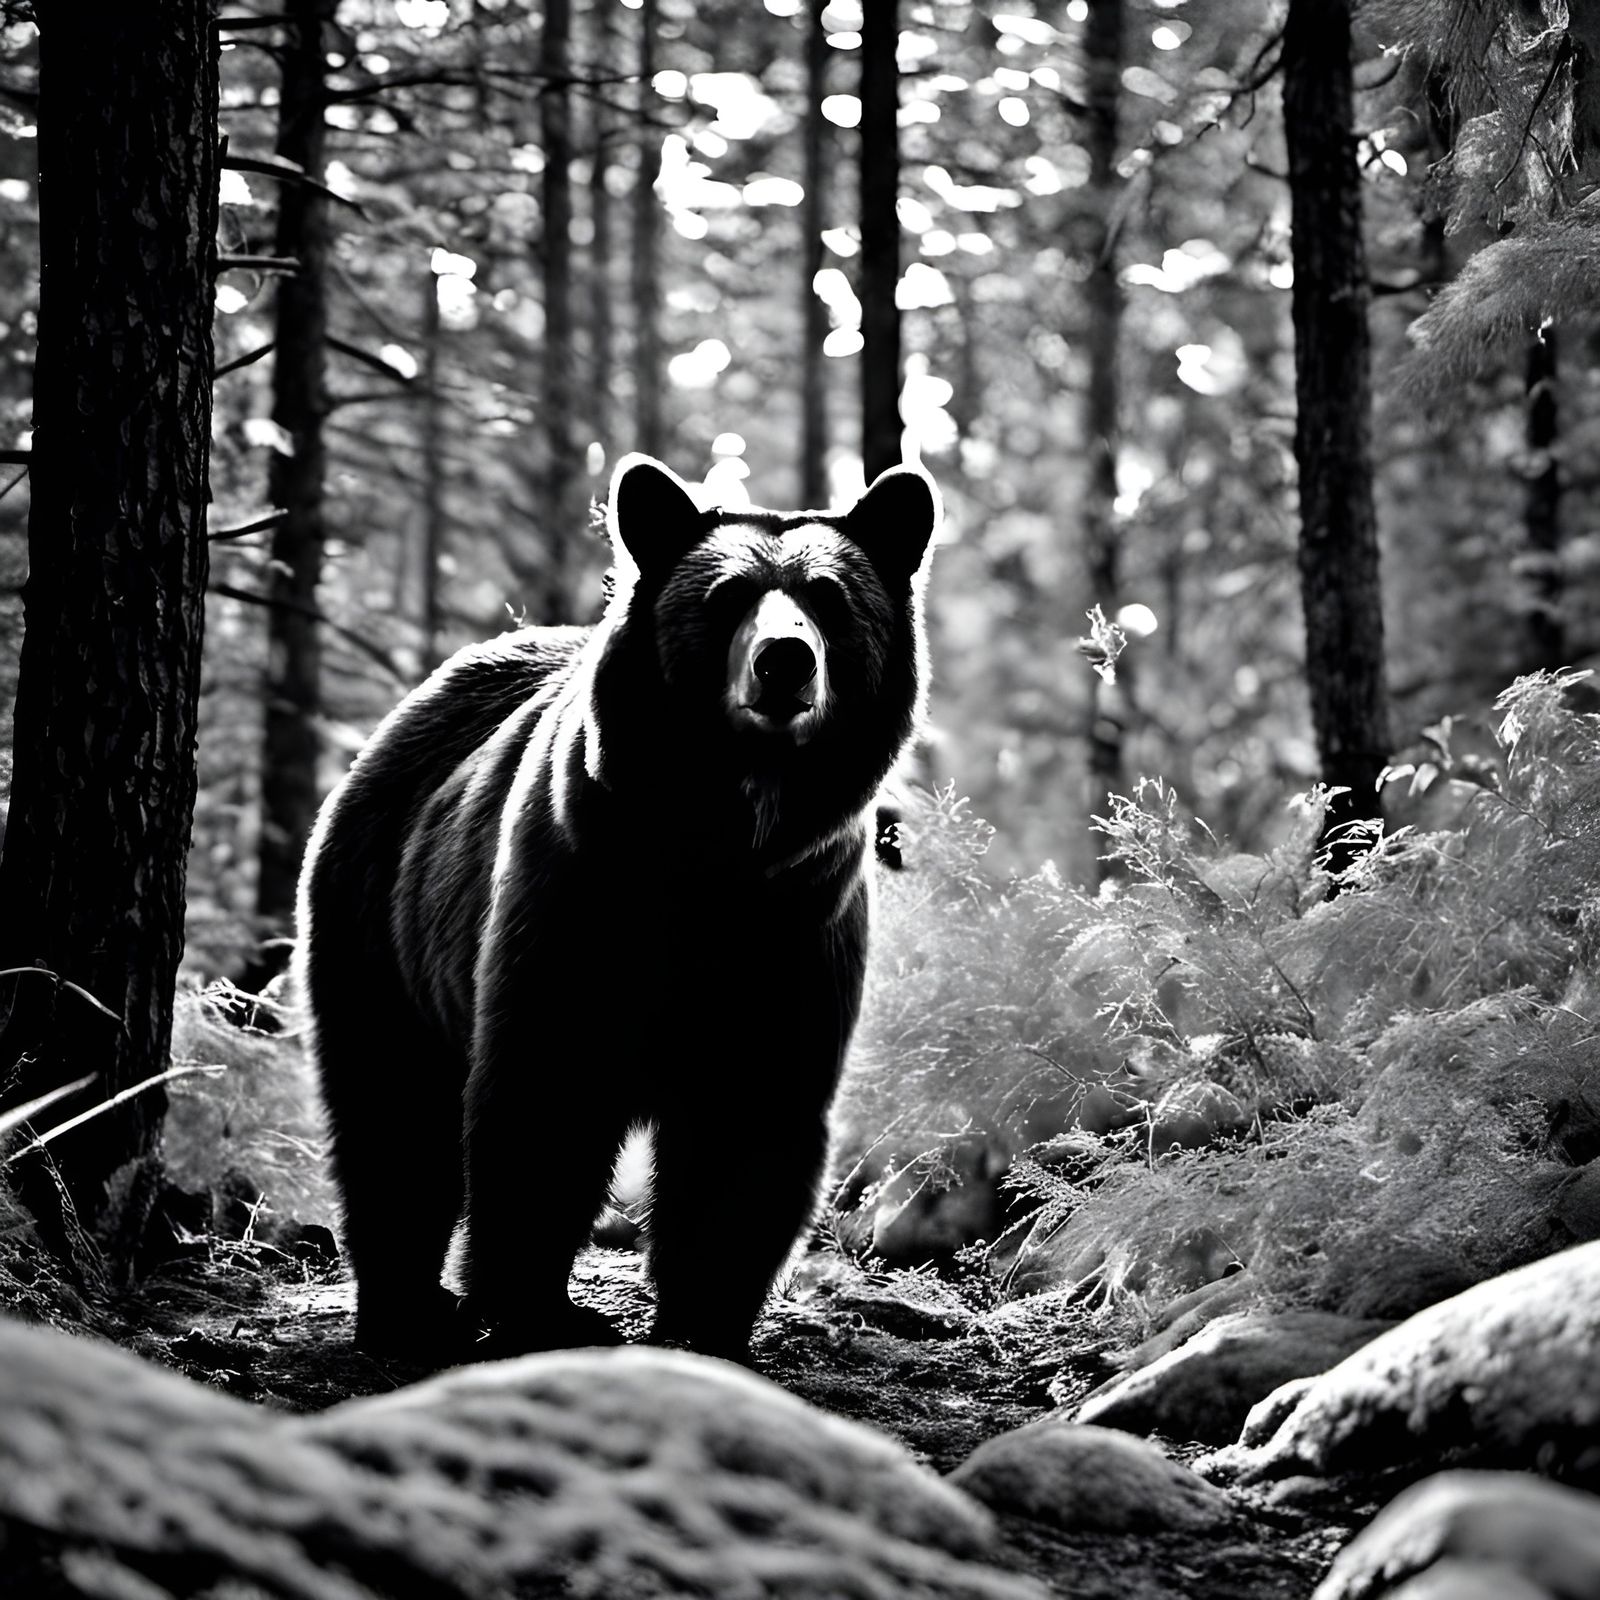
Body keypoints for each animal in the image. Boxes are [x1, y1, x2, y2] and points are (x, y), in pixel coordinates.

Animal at [296, 453, 940, 1362]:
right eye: (726, 596)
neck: (725, 847)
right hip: (378, 910)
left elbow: (751, 1116)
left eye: (830, 597)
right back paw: (405, 1309)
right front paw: (538, 1309)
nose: (784, 661)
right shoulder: (588, 889)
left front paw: (705, 1321)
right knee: (391, 1105)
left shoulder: (797, 921)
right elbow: (546, 1092)